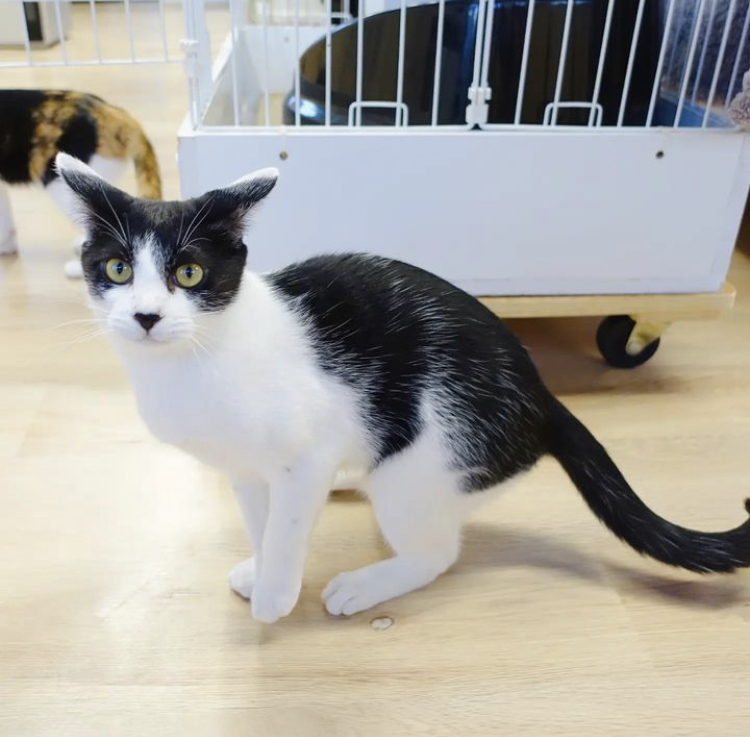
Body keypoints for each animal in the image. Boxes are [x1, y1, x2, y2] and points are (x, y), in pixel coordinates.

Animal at [54, 152, 750, 624]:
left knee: (438, 551)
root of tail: (544, 396)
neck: (193, 364)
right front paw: (263, 564)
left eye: (189, 273)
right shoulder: (245, 469)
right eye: (117, 268)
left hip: (420, 462)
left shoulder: (304, 453)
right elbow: (262, 519)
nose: (146, 316)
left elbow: (289, 517)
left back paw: (364, 585)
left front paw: (277, 594)